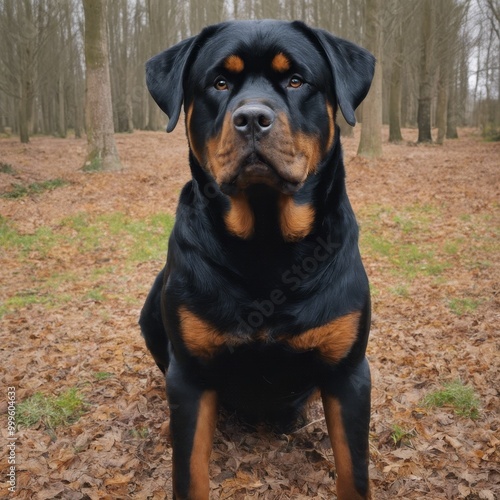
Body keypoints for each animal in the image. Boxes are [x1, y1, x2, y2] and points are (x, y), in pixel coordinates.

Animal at [141, 19, 376, 500]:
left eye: (296, 80)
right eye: (220, 82)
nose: (252, 117)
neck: (267, 244)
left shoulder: (348, 373)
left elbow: (353, 471)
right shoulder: (190, 377)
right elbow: (189, 472)